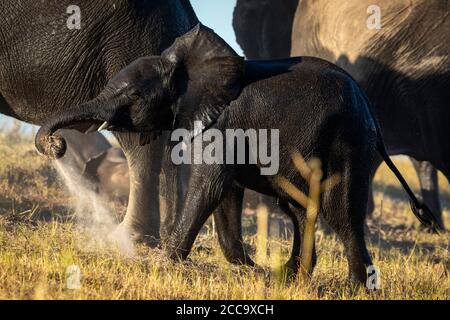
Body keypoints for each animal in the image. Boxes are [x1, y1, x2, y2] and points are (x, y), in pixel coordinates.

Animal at [36, 25, 440, 284]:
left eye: (134, 96)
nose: (55, 144)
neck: (185, 67)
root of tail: (372, 114)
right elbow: (225, 192)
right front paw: (252, 269)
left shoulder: (222, 125)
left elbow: (209, 186)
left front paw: (164, 264)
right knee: (300, 210)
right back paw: (291, 278)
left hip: (350, 142)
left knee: (339, 213)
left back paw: (353, 288)